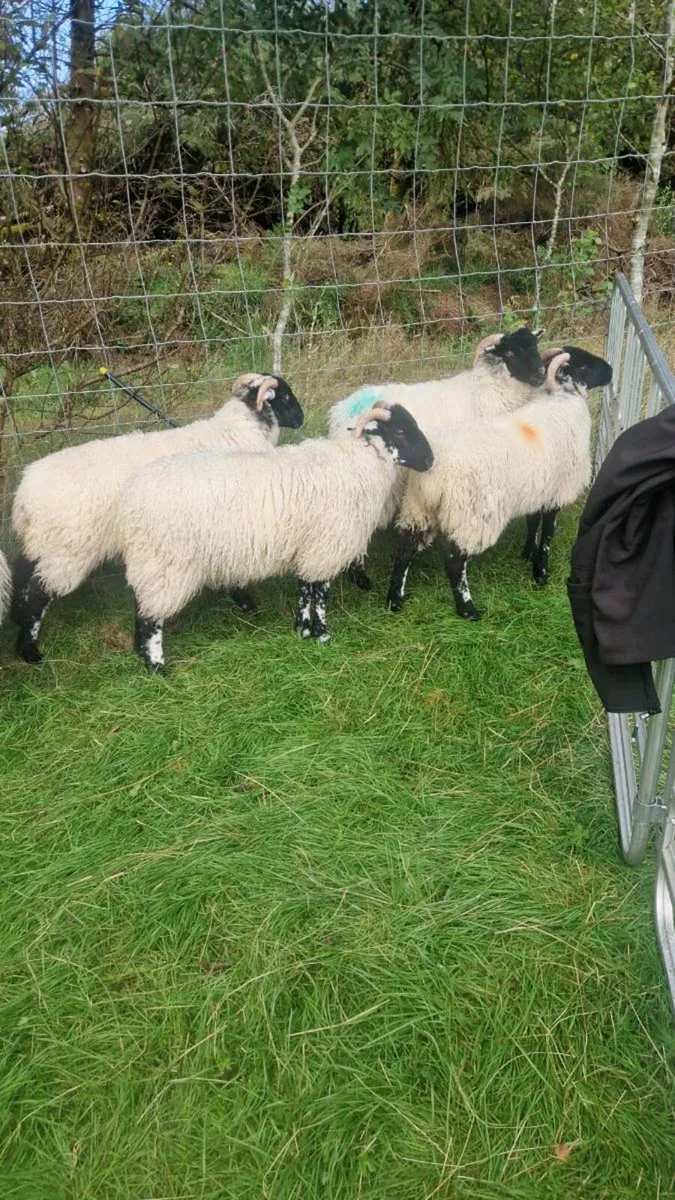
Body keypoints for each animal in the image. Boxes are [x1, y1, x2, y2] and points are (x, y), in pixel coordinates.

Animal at [11, 373, 304, 663]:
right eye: (286, 396)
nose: (302, 419)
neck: (234, 432)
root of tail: (24, 493)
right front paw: (248, 606)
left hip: (42, 544)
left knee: (23, 579)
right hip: (68, 549)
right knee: (38, 593)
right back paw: (31, 651)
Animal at [117, 403, 434, 671]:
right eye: (401, 431)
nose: (431, 460)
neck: (358, 463)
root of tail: (130, 500)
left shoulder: (309, 548)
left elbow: (305, 590)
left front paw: (302, 630)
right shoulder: (325, 546)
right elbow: (321, 593)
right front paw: (323, 635)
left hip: (149, 561)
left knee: (141, 604)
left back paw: (140, 652)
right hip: (166, 562)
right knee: (151, 618)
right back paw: (157, 667)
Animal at [328, 326, 548, 590]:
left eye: (535, 345)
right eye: (512, 352)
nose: (541, 374)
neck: (488, 390)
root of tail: (340, 414)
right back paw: (359, 577)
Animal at [386, 350, 605, 620]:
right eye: (584, 365)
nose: (610, 371)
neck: (563, 401)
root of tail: (433, 472)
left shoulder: (537, 489)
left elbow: (532, 523)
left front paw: (527, 553)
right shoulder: (556, 491)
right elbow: (547, 535)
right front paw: (541, 574)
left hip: (418, 506)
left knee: (405, 549)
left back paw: (395, 599)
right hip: (471, 514)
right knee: (454, 562)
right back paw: (467, 608)